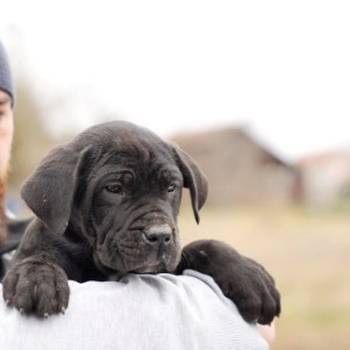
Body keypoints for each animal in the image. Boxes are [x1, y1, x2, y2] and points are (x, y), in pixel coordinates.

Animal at [0, 121, 278, 324]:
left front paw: (249, 275)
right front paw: (37, 276)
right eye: (114, 189)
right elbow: (36, 255)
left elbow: (204, 245)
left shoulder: (170, 264)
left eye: (171, 187)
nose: (160, 235)